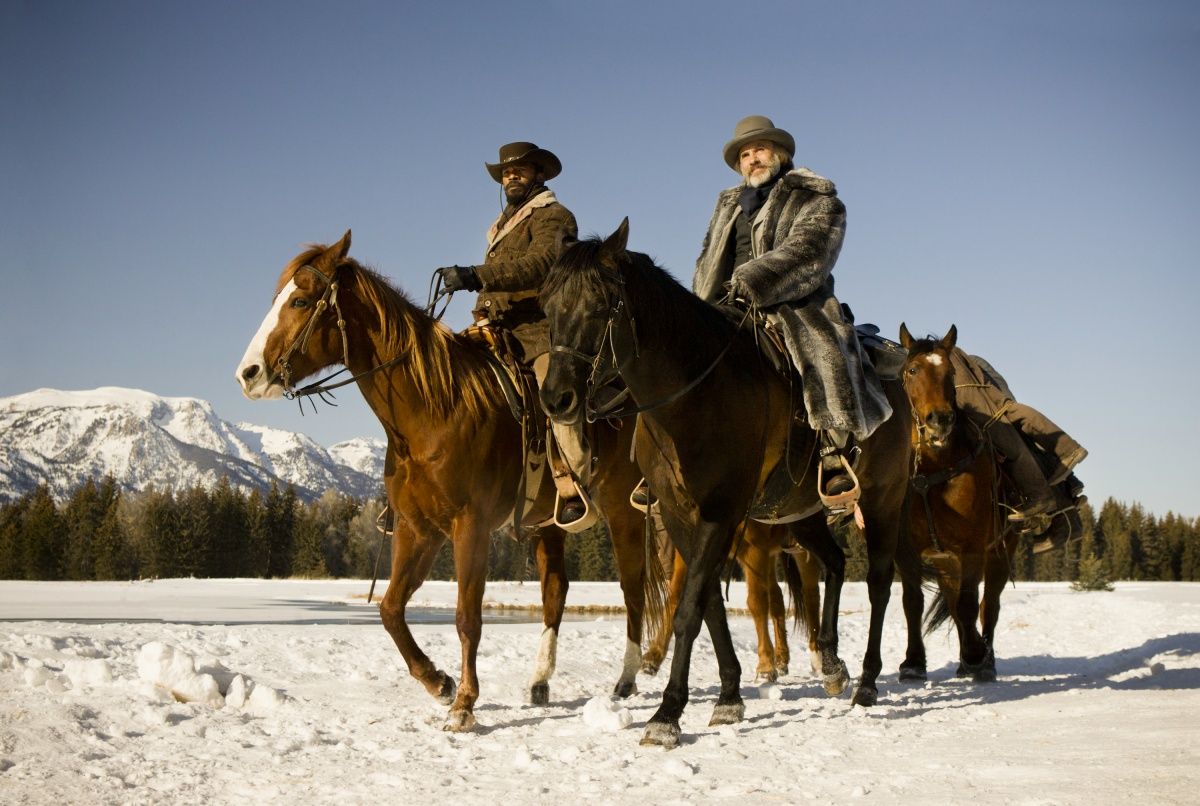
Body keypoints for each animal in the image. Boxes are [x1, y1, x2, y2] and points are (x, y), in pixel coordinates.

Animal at [236, 231, 667, 729]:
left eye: (301, 300)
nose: (248, 374)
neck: (433, 411)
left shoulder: (469, 526)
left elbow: (466, 617)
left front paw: (464, 703)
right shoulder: (417, 529)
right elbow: (390, 609)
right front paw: (437, 682)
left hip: (621, 509)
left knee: (633, 588)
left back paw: (626, 678)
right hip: (548, 525)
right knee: (555, 591)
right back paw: (540, 681)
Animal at [537, 220, 907, 748]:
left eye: (602, 304)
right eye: (547, 306)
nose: (557, 398)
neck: (692, 397)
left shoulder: (721, 511)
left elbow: (691, 607)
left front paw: (667, 714)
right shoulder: (679, 513)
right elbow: (709, 601)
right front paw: (729, 695)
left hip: (882, 501)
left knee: (877, 584)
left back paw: (869, 683)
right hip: (801, 511)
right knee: (835, 562)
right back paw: (834, 663)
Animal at [897, 321, 1017, 681]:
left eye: (950, 372)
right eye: (912, 370)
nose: (939, 419)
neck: (933, 472)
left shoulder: (973, 547)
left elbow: (968, 604)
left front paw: (977, 654)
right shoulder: (905, 550)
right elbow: (913, 603)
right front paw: (913, 662)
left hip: (999, 552)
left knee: (988, 605)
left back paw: (983, 659)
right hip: (946, 561)